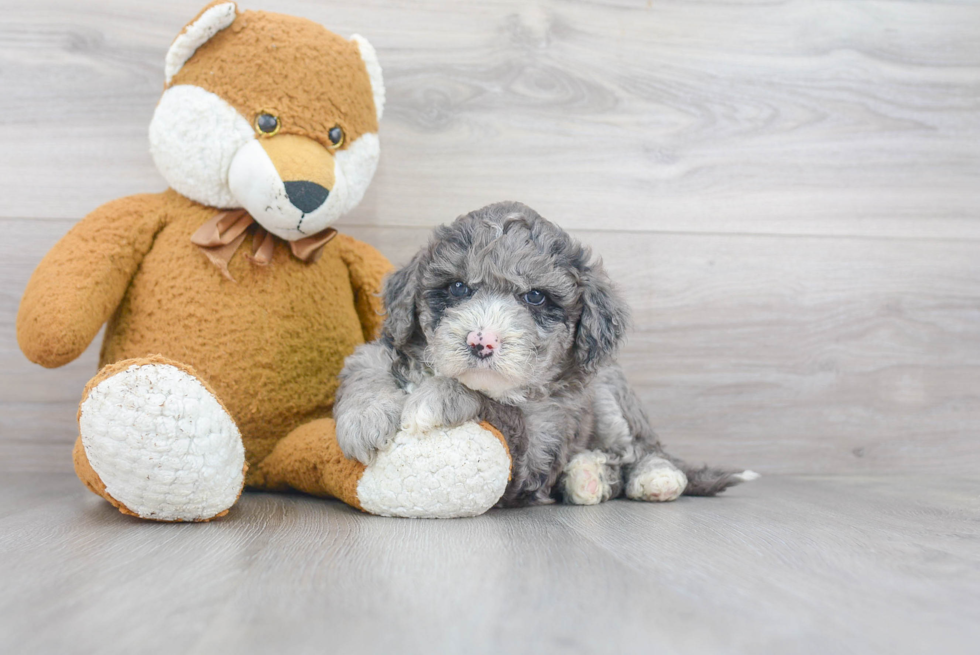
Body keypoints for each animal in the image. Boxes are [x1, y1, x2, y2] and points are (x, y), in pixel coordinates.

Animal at [336, 200, 756, 508]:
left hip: (609, 391)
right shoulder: (380, 351)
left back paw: (649, 477)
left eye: (535, 296)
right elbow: (366, 368)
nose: (481, 341)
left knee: (637, 450)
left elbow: (495, 406)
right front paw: (366, 419)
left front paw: (436, 399)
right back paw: (587, 476)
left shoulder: (538, 444)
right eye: (457, 288)